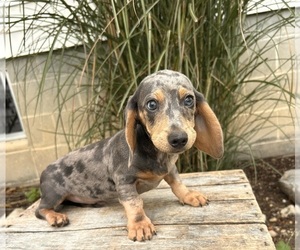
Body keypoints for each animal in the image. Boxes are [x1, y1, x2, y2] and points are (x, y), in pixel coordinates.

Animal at [35, 69, 223, 241]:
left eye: (189, 100)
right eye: (151, 104)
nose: (179, 139)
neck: (156, 153)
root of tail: (45, 169)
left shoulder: (170, 169)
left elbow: (177, 184)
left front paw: (189, 195)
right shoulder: (124, 181)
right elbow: (134, 203)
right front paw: (140, 225)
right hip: (54, 194)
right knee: (40, 210)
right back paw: (56, 217)